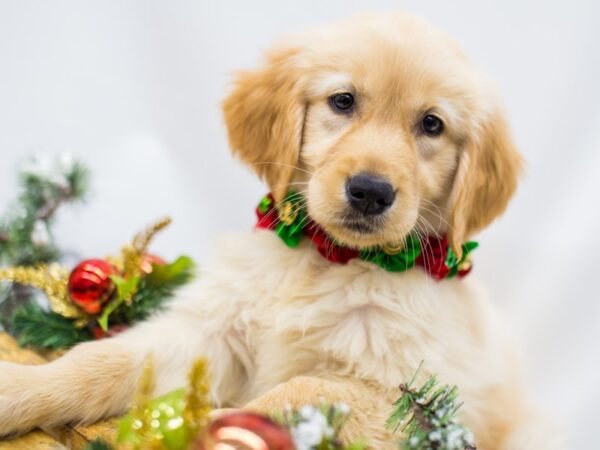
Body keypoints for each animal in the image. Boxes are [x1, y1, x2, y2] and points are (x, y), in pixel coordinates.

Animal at [0, 12, 556, 448]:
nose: (371, 191)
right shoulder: (212, 333)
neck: (328, 257)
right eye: (343, 101)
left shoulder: (409, 395)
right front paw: (18, 388)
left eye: (432, 125)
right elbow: (102, 359)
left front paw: (207, 431)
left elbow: (300, 394)